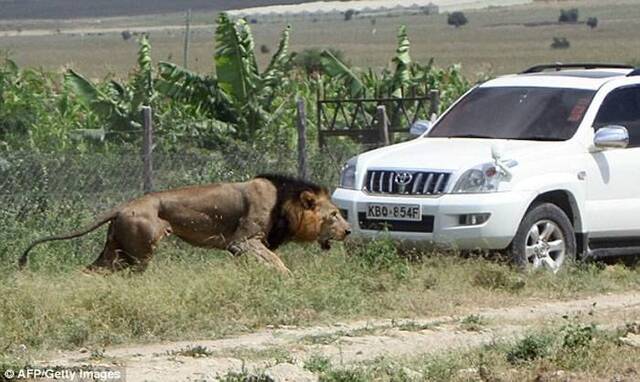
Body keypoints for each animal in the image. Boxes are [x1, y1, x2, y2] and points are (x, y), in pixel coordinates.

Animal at [18, 173, 350, 274]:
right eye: (334, 214)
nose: (348, 230)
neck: (284, 204)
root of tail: (124, 205)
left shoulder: (242, 249)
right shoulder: (242, 241)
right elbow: (277, 263)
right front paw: (289, 280)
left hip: (116, 250)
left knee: (90, 271)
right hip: (139, 251)